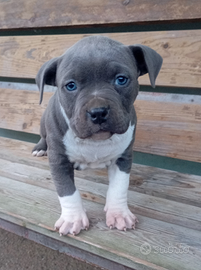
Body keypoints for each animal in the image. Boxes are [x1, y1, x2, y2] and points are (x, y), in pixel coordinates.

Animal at [32, 36, 163, 236]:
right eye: (71, 85)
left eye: (121, 80)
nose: (98, 112)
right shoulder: (58, 160)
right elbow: (67, 191)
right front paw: (73, 219)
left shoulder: (123, 157)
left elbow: (119, 187)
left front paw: (119, 214)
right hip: (43, 121)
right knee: (43, 136)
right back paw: (40, 148)